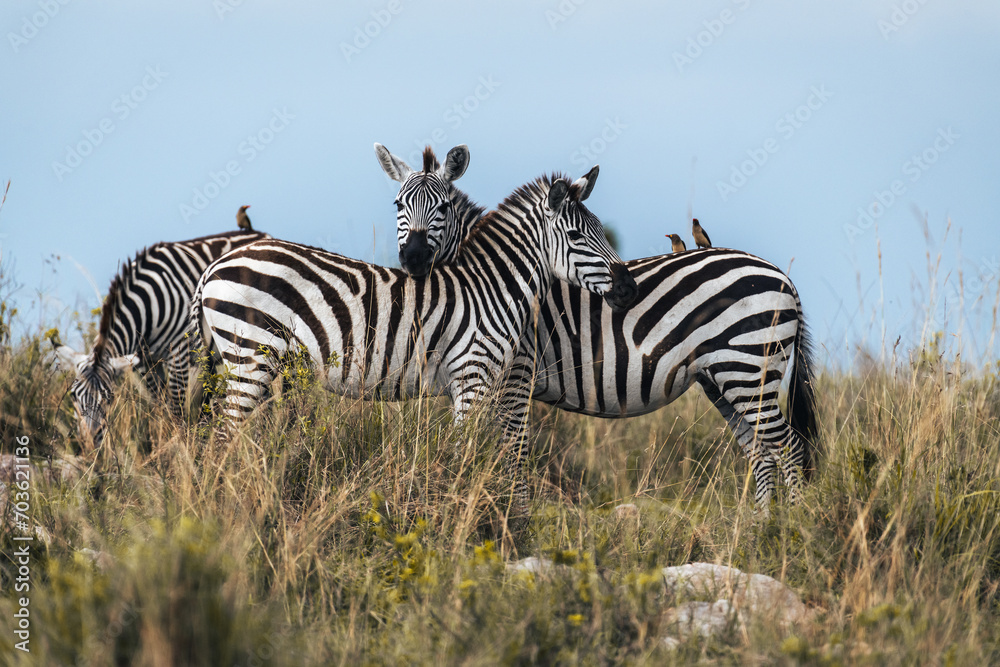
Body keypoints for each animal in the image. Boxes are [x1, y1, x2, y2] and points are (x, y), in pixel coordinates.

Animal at [54, 230, 270, 446]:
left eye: (109, 398)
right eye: (73, 396)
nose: (89, 444)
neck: (146, 309)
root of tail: (257, 233)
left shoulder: (179, 352)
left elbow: (175, 407)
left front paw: (182, 447)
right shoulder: (145, 361)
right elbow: (159, 404)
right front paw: (164, 440)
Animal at [191, 164, 638, 510]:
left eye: (601, 231)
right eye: (578, 238)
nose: (629, 290)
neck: (493, 288)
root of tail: (216, 264)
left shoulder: (486, 383)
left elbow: (495, 452)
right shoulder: (472, 377)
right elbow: (466, 456)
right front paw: (460, 522)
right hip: (251, 356)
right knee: (221, 440)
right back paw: (220, 509)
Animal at [377, 144, 818, 513]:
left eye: (442, 208)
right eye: (398, 204)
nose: (414, 258)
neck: (494, 276)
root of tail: (783, 278)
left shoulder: (517, 372)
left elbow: (513, 450)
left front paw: (515, 519)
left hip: (748, 367)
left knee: (790, 449)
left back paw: (793, 530)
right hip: (724, 377)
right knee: (762, 452)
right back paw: (758, 530)